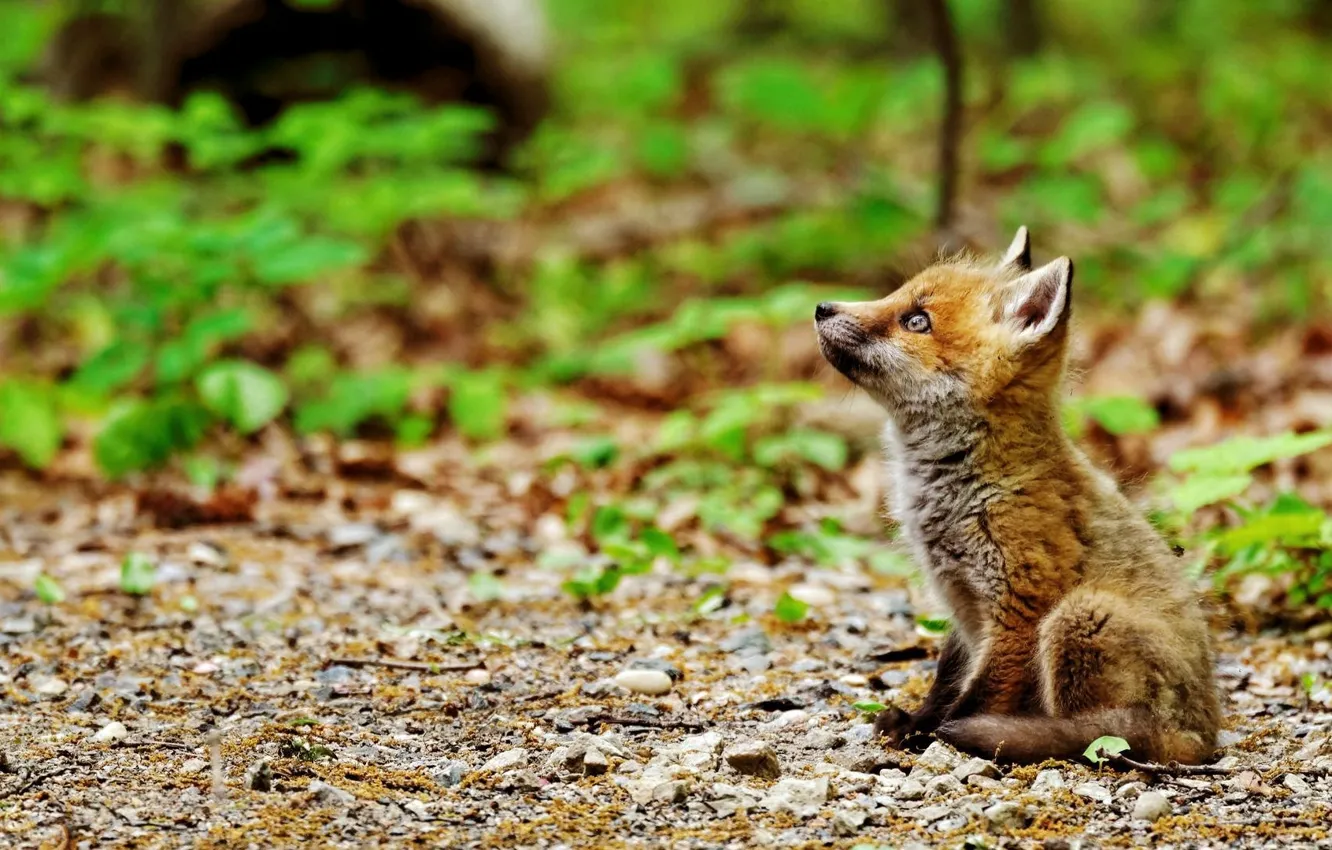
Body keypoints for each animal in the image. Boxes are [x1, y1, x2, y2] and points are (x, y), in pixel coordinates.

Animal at [814, 228, 1220, 764]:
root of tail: (1204, 736)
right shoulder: (962, 607)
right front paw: (918, 722)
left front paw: (935, 735)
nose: (821, 307)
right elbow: (947, 681)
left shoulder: (1019, 608)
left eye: (916, 320)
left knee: (1104, 736)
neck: (969, 491)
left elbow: (977, 698)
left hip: (1078, 615)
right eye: (897, 296)